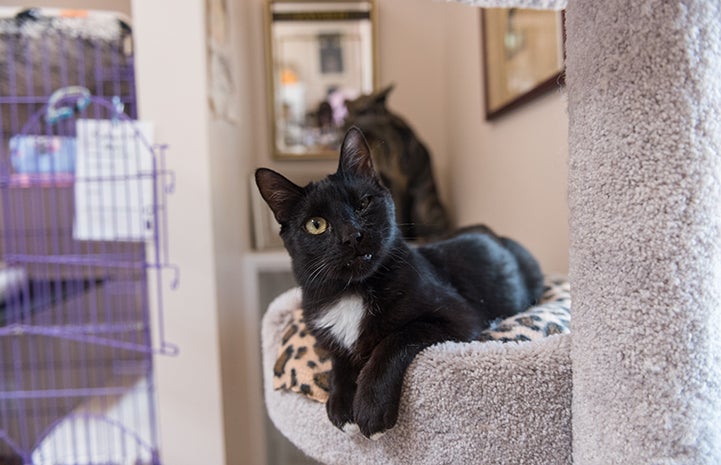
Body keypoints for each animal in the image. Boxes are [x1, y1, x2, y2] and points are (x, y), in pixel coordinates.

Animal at [256, 127, 544, 438]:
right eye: (316, 225)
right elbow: (339, 361)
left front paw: (370, 406)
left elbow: (395, 339)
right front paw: (341, 403)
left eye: (363, 203)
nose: (352, 235)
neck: (352, 292)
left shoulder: (459, 316)